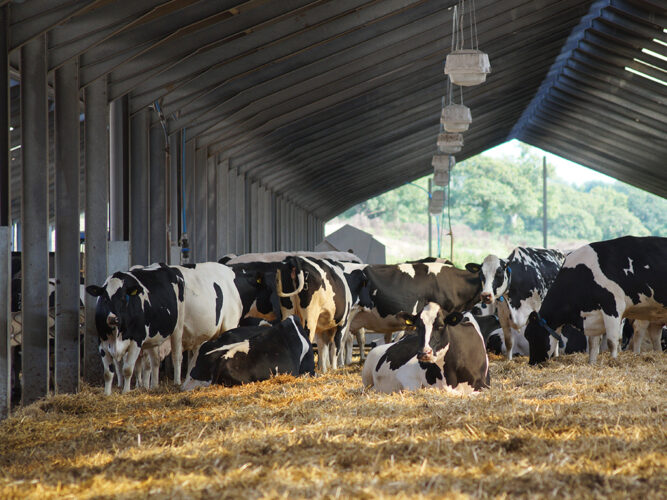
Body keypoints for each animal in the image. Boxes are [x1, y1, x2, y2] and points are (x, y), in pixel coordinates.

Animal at [86, 262, 243, 394]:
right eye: (104, 298)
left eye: (124, 298)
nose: (112, 318)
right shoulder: (103, 343)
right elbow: (109, 372)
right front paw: (109, 393)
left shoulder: (137, 341)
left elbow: (128, 368)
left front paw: (126, 392)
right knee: (158, 361)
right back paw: (154, 385)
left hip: (182, 328)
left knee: (177, 356)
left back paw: (177, 382)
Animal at [528, 236, 667, 366]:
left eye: (530, 335)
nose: (532, 362)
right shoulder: (593, 313)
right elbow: (593, 344)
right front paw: (592, 363)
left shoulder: (613, 307)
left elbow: (612, 341)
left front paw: (613, 361)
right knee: (654, 335)